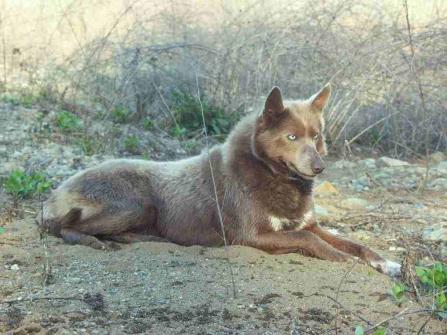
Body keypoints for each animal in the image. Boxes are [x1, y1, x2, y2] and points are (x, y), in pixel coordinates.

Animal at [43, 84, 402, 278]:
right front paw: (347, 261)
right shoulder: (253, 236)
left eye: (316, 136)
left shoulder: (309, 224)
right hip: (135, 204)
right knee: (66, 227)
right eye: (291, 137)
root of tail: (54, 194)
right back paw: (92, 240)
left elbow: (351, 241)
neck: (269, 173)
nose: (319, 167)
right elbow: (312, 240)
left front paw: (384, 262)